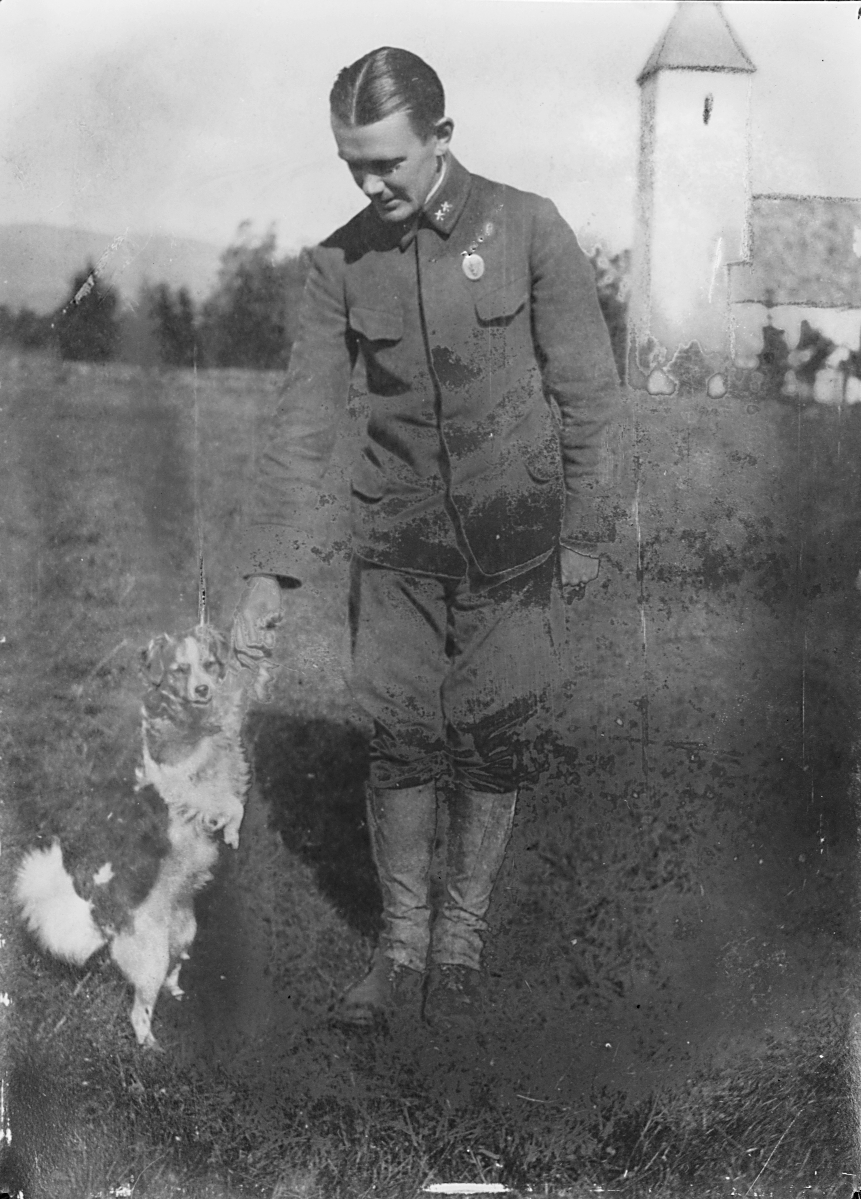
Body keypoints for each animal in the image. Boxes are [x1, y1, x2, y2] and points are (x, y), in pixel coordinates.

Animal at [13, 628, 262, 1050]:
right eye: (180, 670)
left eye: (209, 665)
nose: (203, 689)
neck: (192, 721)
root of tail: (107, 918)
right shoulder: (178, 787)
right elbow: (226, 803)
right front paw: (229, 829)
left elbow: (234, 803)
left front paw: (230, 831)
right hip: (150, 962)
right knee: (140, 1010)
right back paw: (150, 1048)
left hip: (184, 936)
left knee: (174, 971)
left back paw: (176, 991)